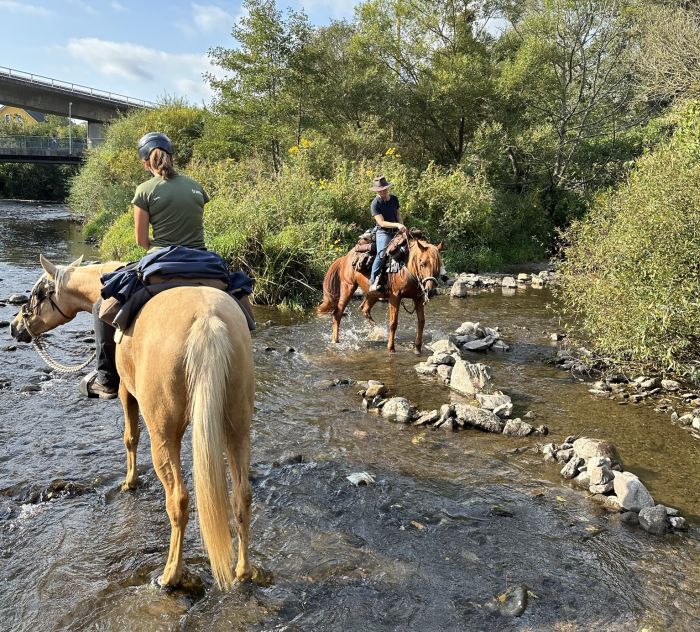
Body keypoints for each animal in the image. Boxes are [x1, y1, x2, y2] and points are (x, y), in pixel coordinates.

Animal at [9, 254, 256, 592]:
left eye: (37, 294)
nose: (14, 326)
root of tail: (208, 321)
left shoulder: (127, 391)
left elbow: (130, 437)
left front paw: (129, 482)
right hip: (237, 424)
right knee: (241, 495)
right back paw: (243, 571)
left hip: (164, 432)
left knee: (178, 500)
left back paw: (170, 575)